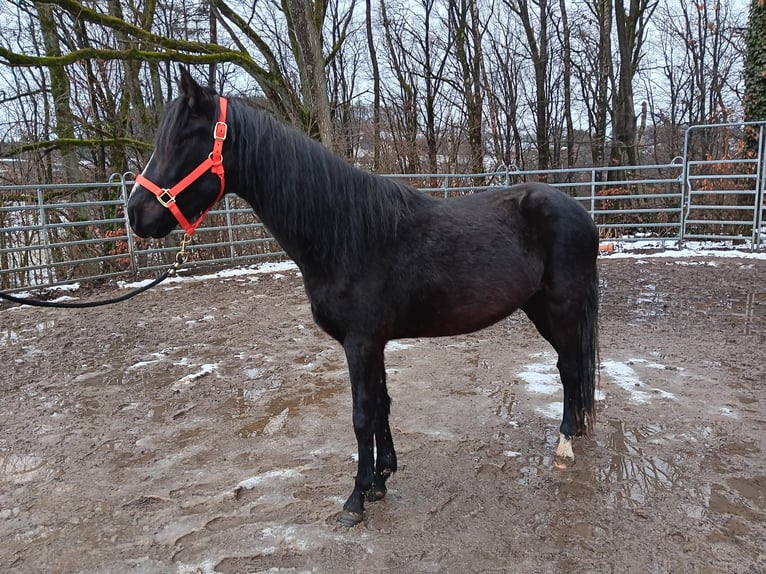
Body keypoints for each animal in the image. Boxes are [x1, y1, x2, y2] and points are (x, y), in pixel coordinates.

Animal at [127, 67, 599, 527]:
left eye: (183, 140)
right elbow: (381, 405)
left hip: (560, 309)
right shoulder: (375, 344)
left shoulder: (360, 343)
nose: (135, 214)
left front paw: (355, 499)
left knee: (569, 367)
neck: (345, 232)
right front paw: (382, 478)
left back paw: (565, 443)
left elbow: (360, 415)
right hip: (540, 308)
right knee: (572, 367)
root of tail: (580, 212)